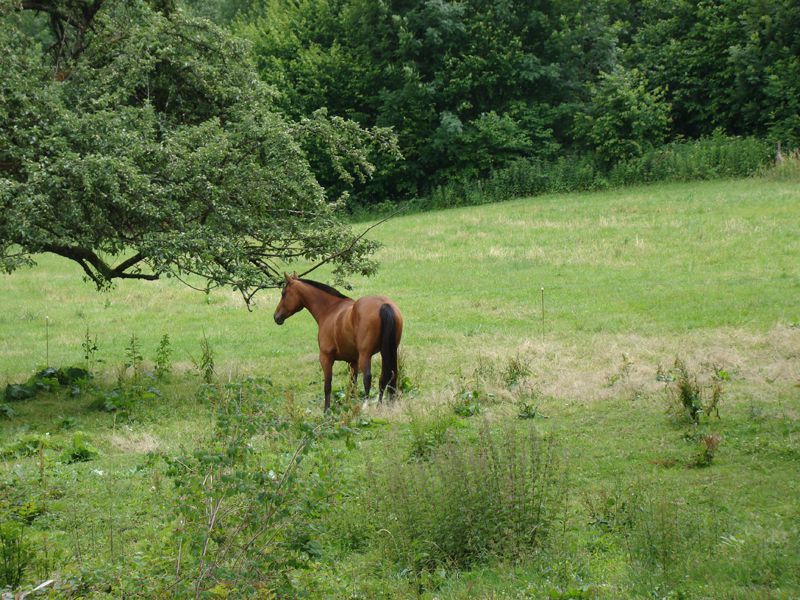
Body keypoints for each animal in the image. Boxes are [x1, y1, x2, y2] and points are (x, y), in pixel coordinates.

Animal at [273, 273, 403, 412]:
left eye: (283, 293)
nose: (276, 317)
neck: (330, 309)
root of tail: (384, 304)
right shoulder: (353, 361)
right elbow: (352, 384)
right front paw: (351, 405)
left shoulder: (326, 358)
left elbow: (328, 385)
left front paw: (326, 411)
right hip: (388, 352)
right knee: (388, 376)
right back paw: (380, 406)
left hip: (366, 355)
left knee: (368, 377)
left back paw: (365, 406)